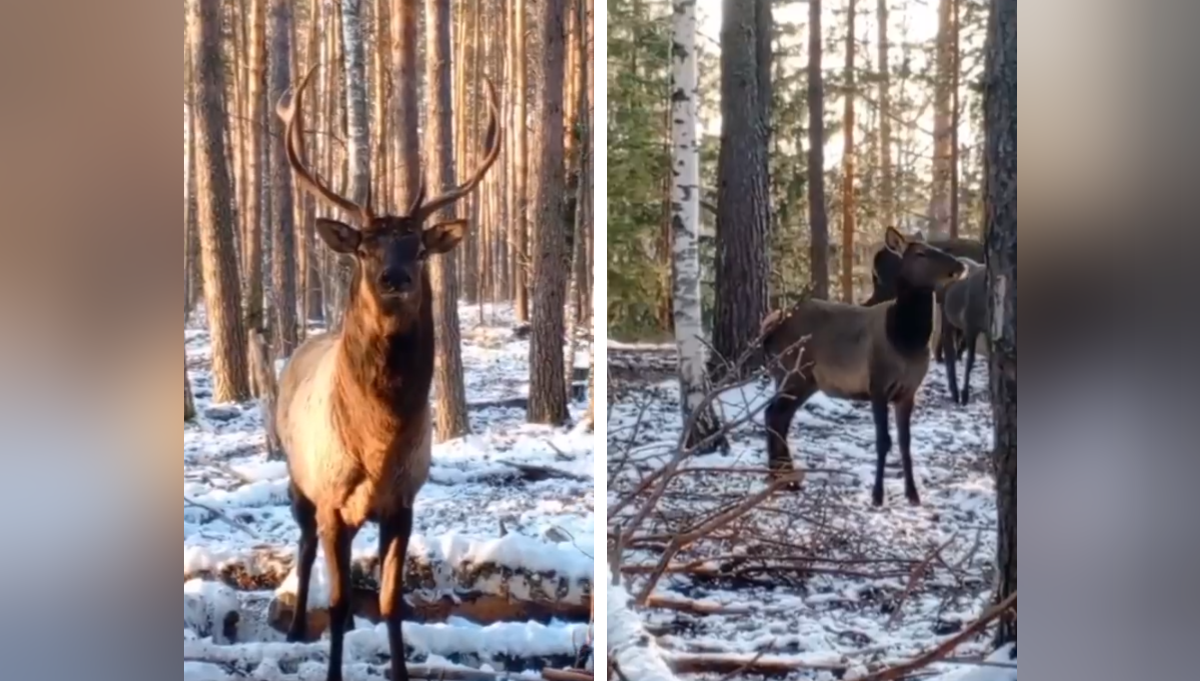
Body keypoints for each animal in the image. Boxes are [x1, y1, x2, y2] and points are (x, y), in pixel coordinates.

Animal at [270, 66, 499, 681]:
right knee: (305, 550)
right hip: (297, 479)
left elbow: (393, 600)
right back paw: (297, 627)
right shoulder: (330, 497)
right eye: (366, 250)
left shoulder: (404, 502)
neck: (378, 443)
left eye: (419, 248)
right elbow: (335, 598)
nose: (396, 277)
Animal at [940, 256, 988, 405]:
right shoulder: (970, 324)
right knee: (948, 348)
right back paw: (954, 391)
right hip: (945, 313)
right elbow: (970, 360)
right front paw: (964, 395)